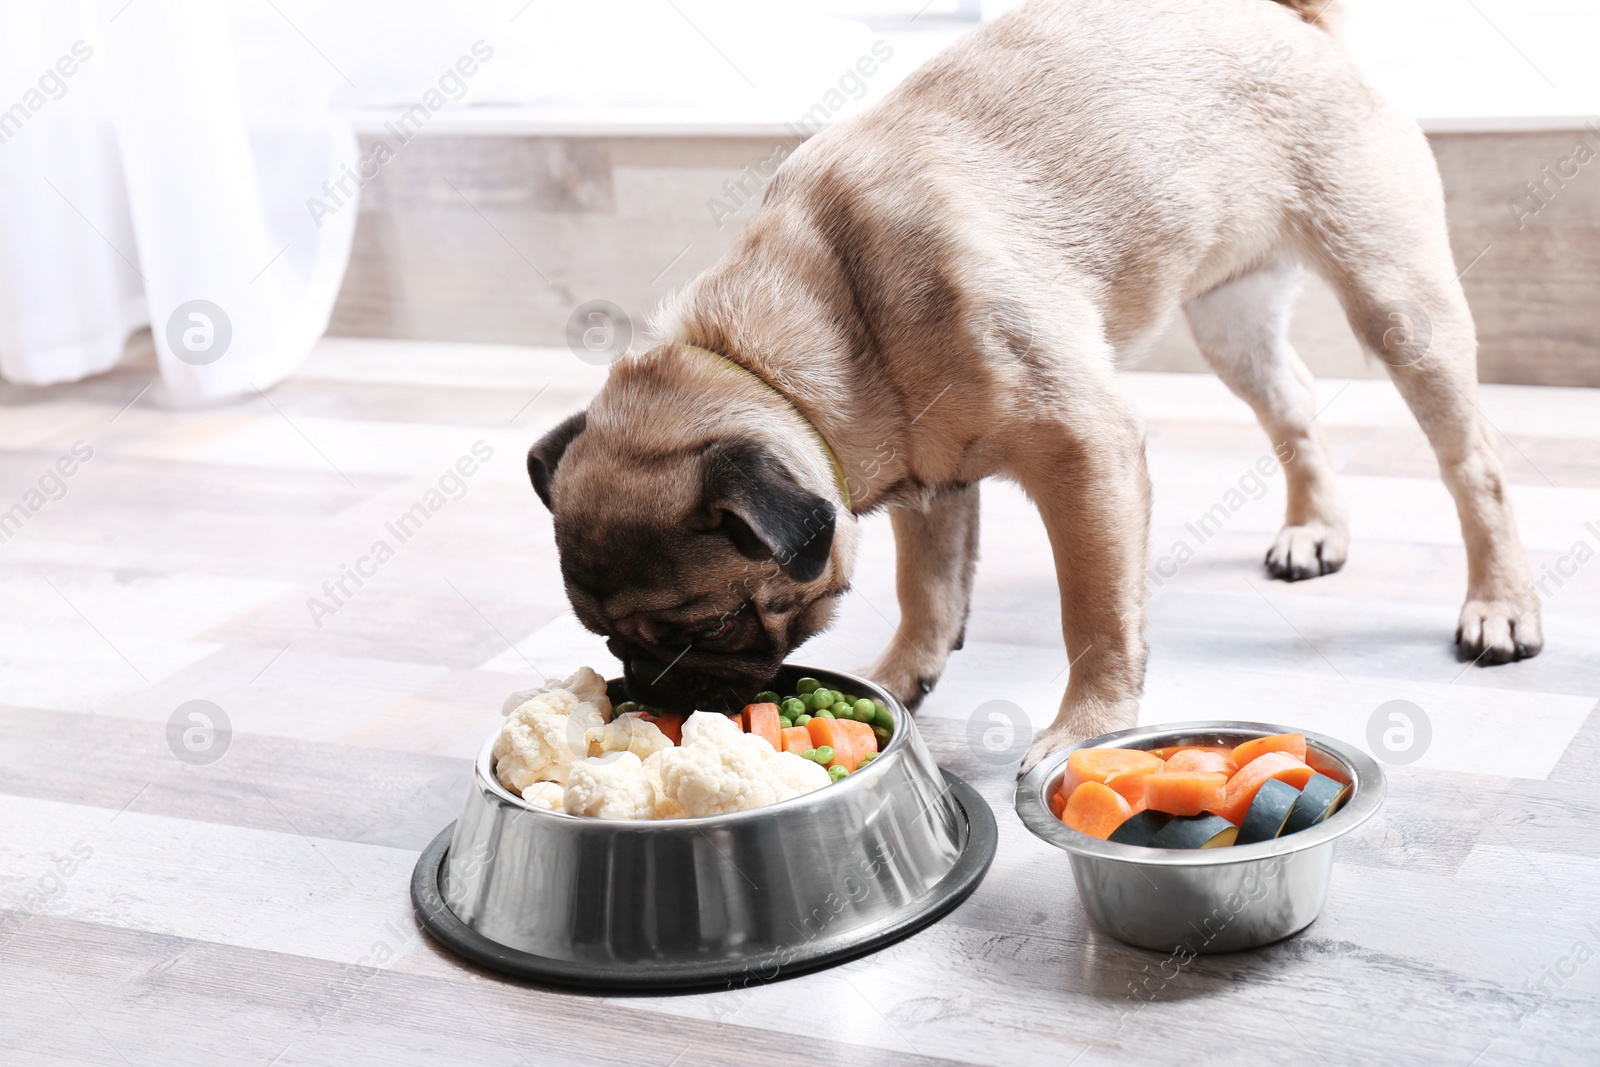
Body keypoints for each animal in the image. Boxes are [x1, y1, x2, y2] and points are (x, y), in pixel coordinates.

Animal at [524, 0, 1536, 771]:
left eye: (704, 629)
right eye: (606, 634)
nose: (644, 680)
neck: (786, 348)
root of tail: (1297, 21)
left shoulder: (1084, 456)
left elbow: (1095, 612)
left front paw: (1089, 726)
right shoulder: (932, 481)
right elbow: (928, 589)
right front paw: (902, 676)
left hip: (1397, 302)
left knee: (1475, 462)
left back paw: (1500, 605)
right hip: (1231, 321)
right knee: (1294, 408)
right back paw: (1314, 528)